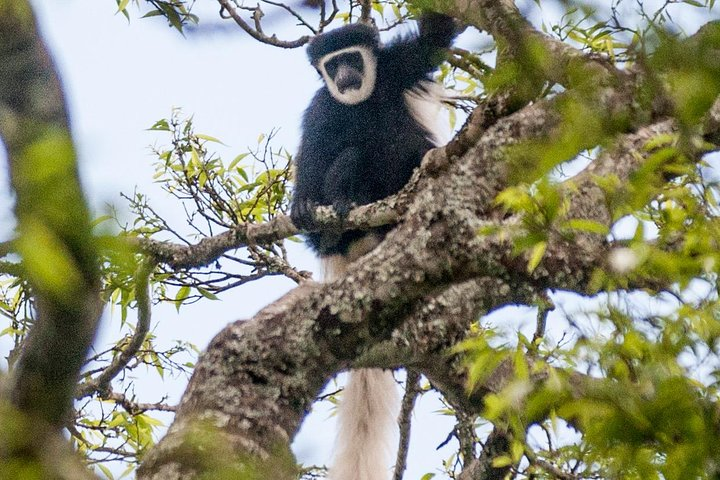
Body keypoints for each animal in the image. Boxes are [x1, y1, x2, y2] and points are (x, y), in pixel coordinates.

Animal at [290, 13, 458, 480]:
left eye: (352, 59)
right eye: (332, 65)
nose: (345, 76)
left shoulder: (397, 69)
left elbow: (435, 37)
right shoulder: (321, 107)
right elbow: (313, 152)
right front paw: (302, 205)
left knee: (394, 148)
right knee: (347, 154)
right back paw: (335, 218)